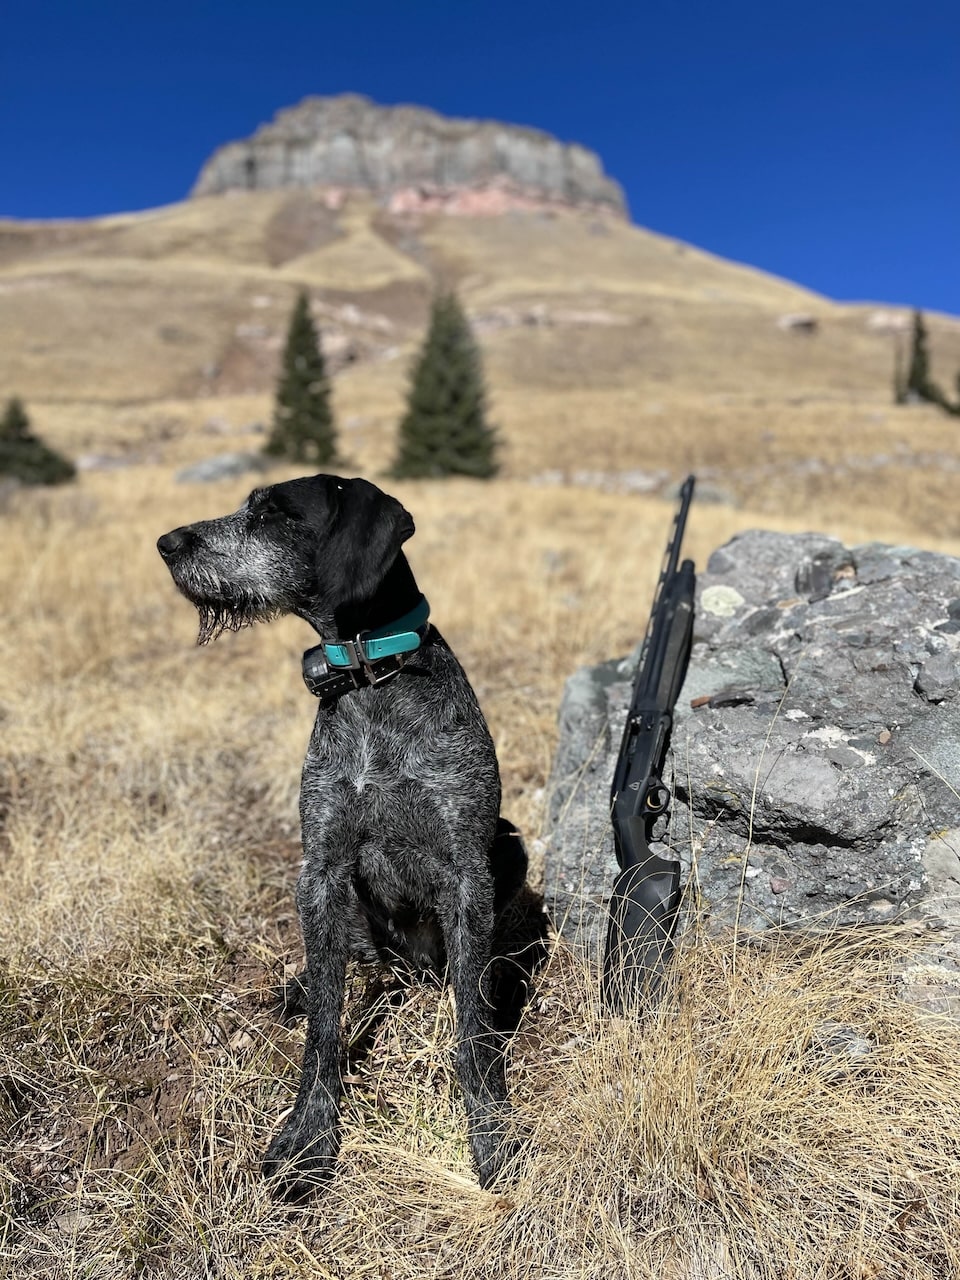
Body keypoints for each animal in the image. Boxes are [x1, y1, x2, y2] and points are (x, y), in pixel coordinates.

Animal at [154, 473, 537, 1198]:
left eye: (273, 512)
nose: (167, 541)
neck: (369, 676)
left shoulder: (466, 873)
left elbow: (470, 1034)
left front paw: (489, 1129)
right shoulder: (323, 869)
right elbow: (326, 1029)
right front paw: (309, 1136)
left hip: (509, 846)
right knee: (354, 967)